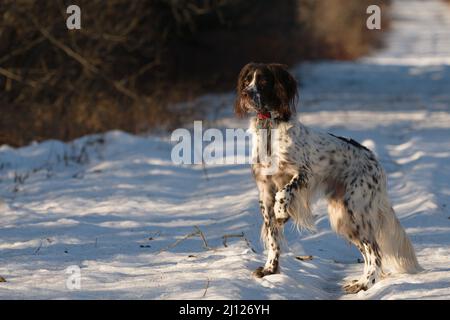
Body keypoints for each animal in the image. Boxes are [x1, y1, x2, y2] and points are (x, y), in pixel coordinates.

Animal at [236, 62, 422, 292]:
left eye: (262, 81)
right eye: (246, 80)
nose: (246, 93)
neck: (269, 129)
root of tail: (375, 161)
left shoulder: (303, 174)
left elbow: (285, 192)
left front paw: (282, 212)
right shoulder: (265, 192)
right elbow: (273, 237)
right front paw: (270, 269)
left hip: (356, 211)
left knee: (375, 251)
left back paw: (366, 284)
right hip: (344, 218)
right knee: (368, 252)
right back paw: (360, 281)